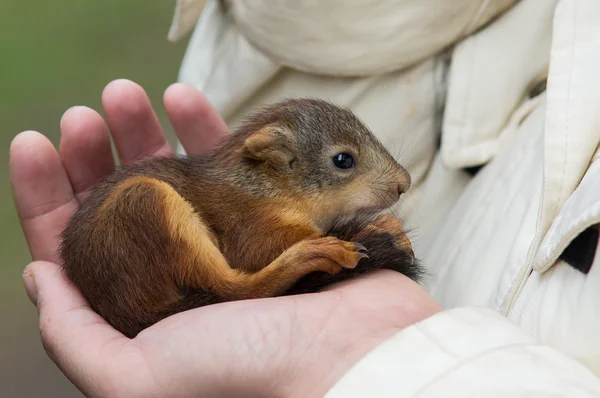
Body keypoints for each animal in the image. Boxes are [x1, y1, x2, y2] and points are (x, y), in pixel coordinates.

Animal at [57, 98, 422, 338]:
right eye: (343, 160)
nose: (404, 183)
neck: (266, 186)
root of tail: (128, 314)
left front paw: (386, 225)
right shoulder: (246, 223)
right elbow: (256, 253)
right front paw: (371, 227)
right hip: (144, 204)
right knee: (236, 290)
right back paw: (314, 254)